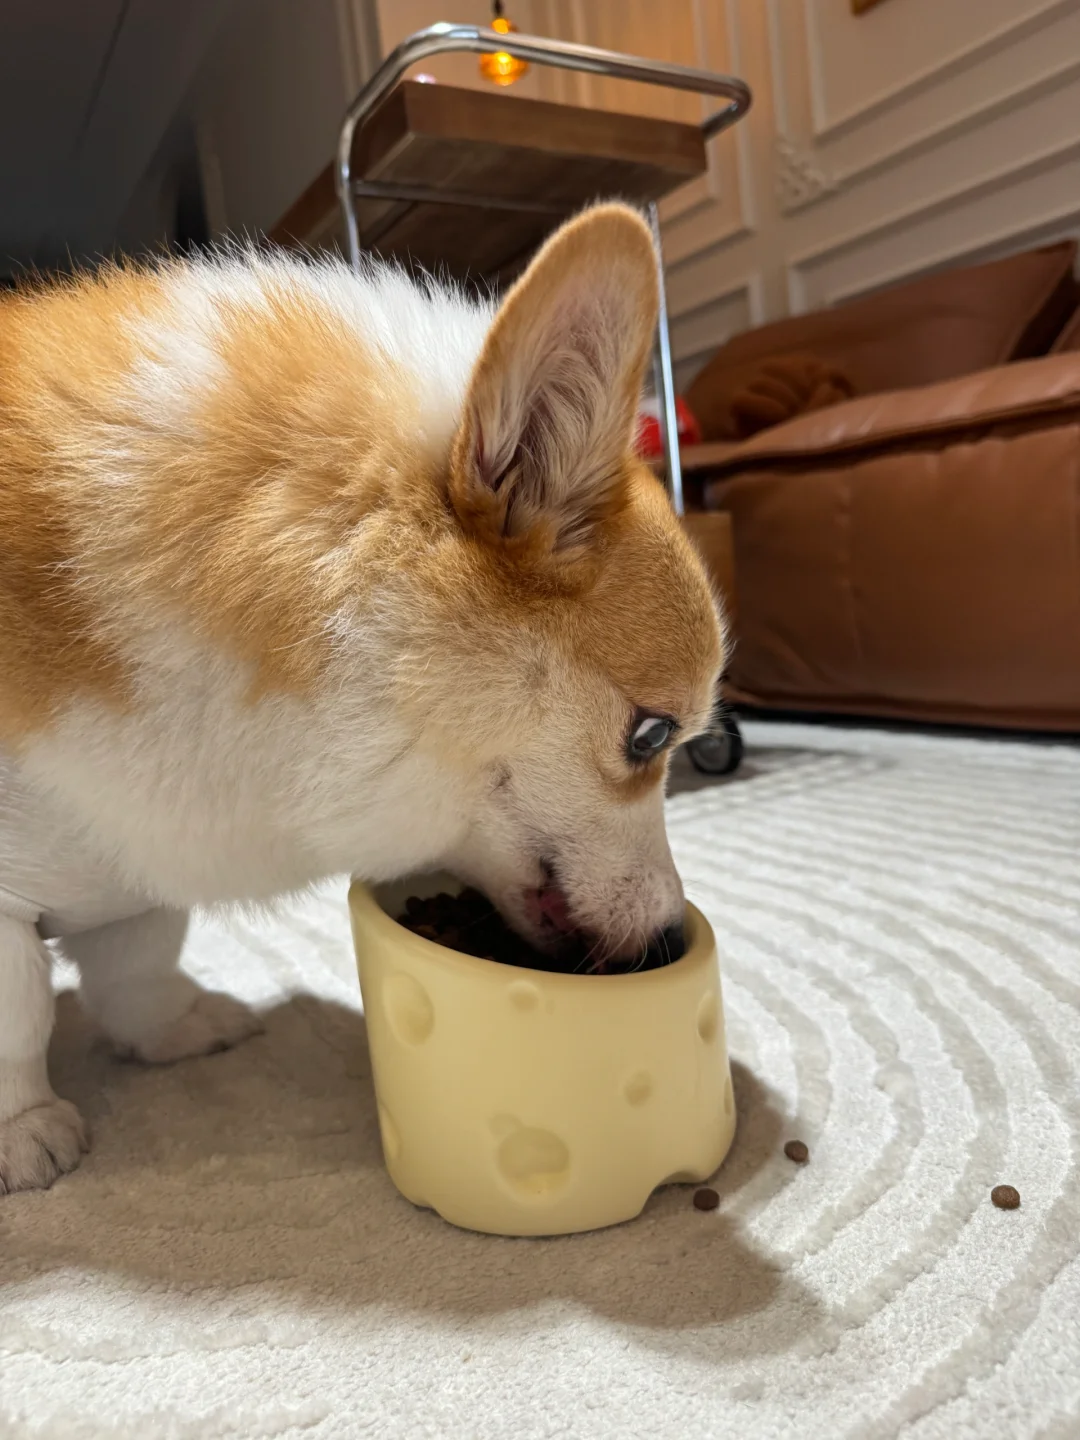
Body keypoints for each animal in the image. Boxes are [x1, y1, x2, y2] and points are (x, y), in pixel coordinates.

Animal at [2, 203, 728, 1192]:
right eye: (652, 736)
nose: (661, 935)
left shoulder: (138, 855)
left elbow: (138, 965)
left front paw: (178, 1030)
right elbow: (21, 1016)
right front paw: (24, 1131)